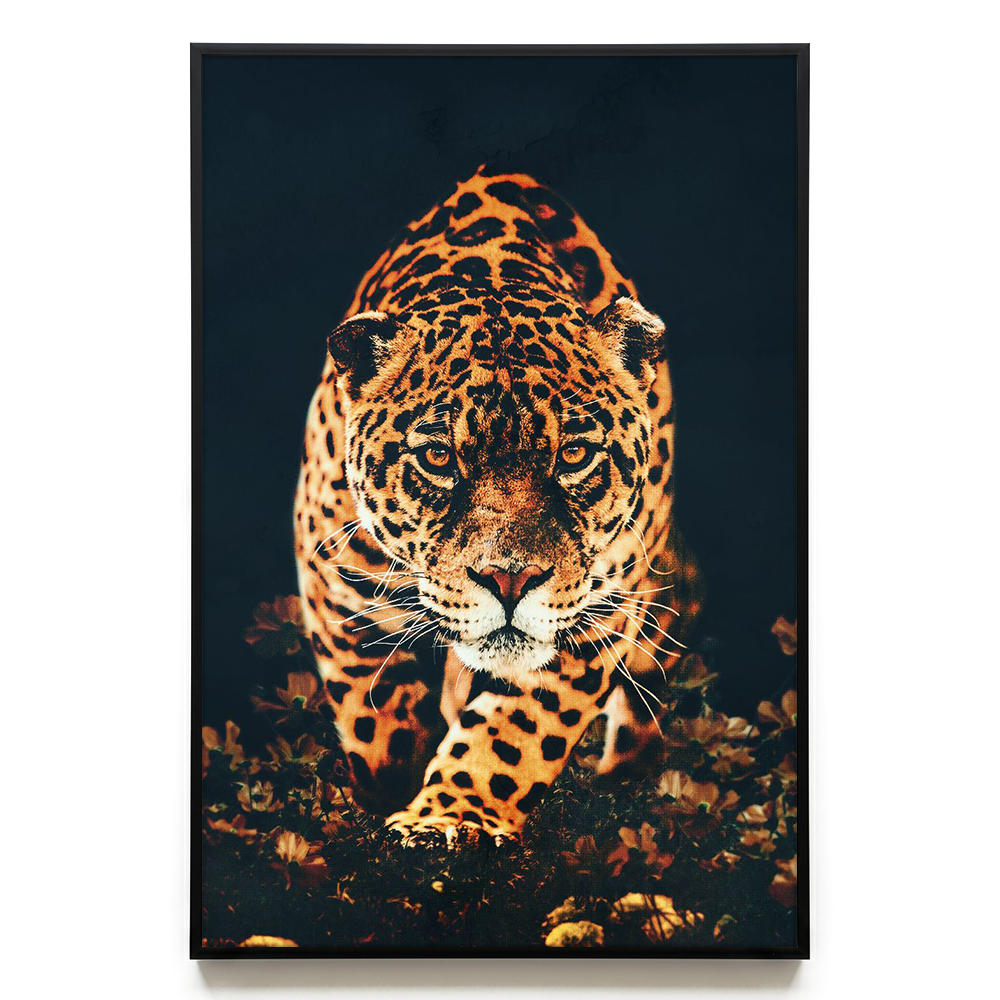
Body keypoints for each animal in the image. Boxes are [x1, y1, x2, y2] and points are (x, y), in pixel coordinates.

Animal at [294, 165, 702, 847]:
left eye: (573, 454)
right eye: (438, 457)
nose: (509, 580)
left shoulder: (597, 609)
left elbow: (516, 732)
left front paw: (450, 816)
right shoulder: (337, 579)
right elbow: (374, 711)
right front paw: (390, 790)